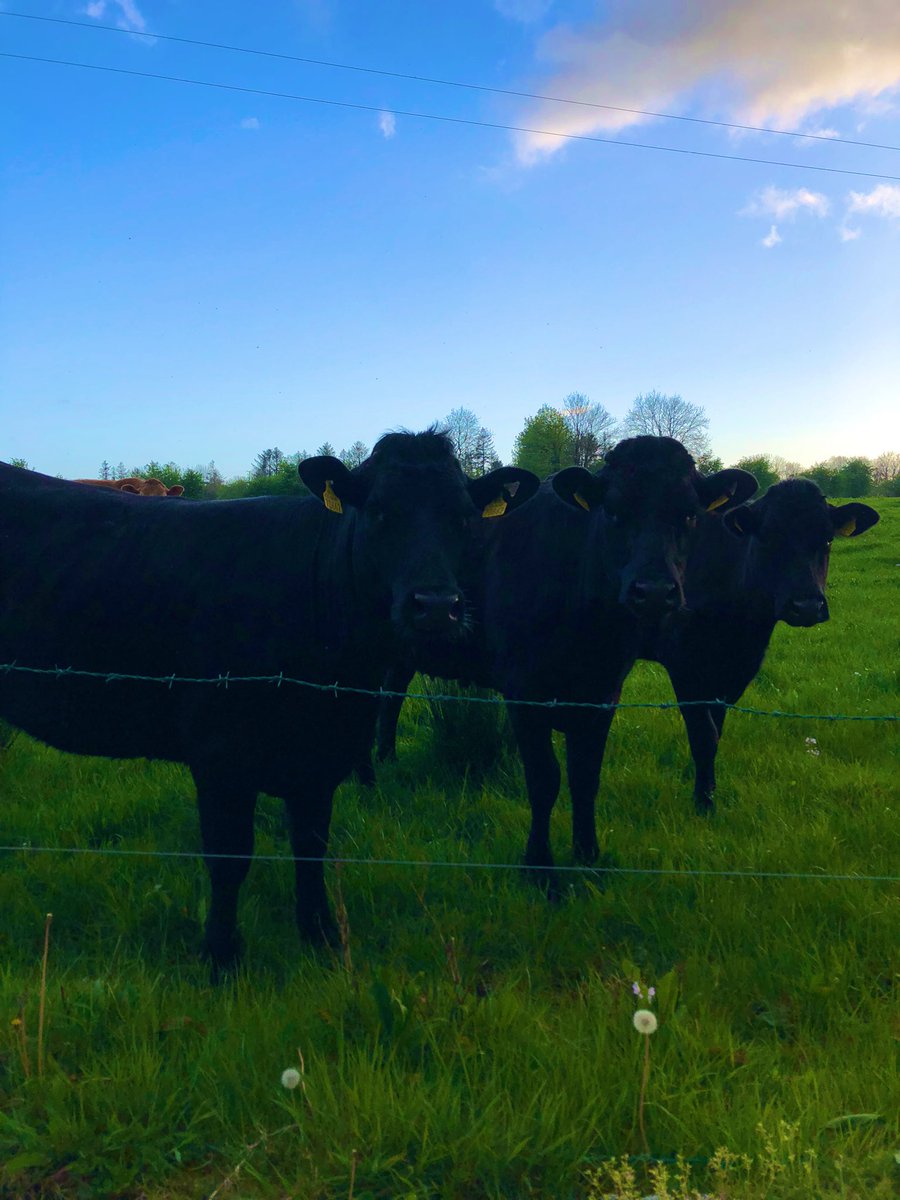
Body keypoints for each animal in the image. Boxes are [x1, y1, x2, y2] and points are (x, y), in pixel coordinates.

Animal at [0, 436, 538, 972]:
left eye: (464, 518)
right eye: (379, 511)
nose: (436, 606)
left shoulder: (324, 754)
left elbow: (311, 844)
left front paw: (321, 936)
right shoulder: (219, 752)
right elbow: (230, 857)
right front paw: (220, 956)